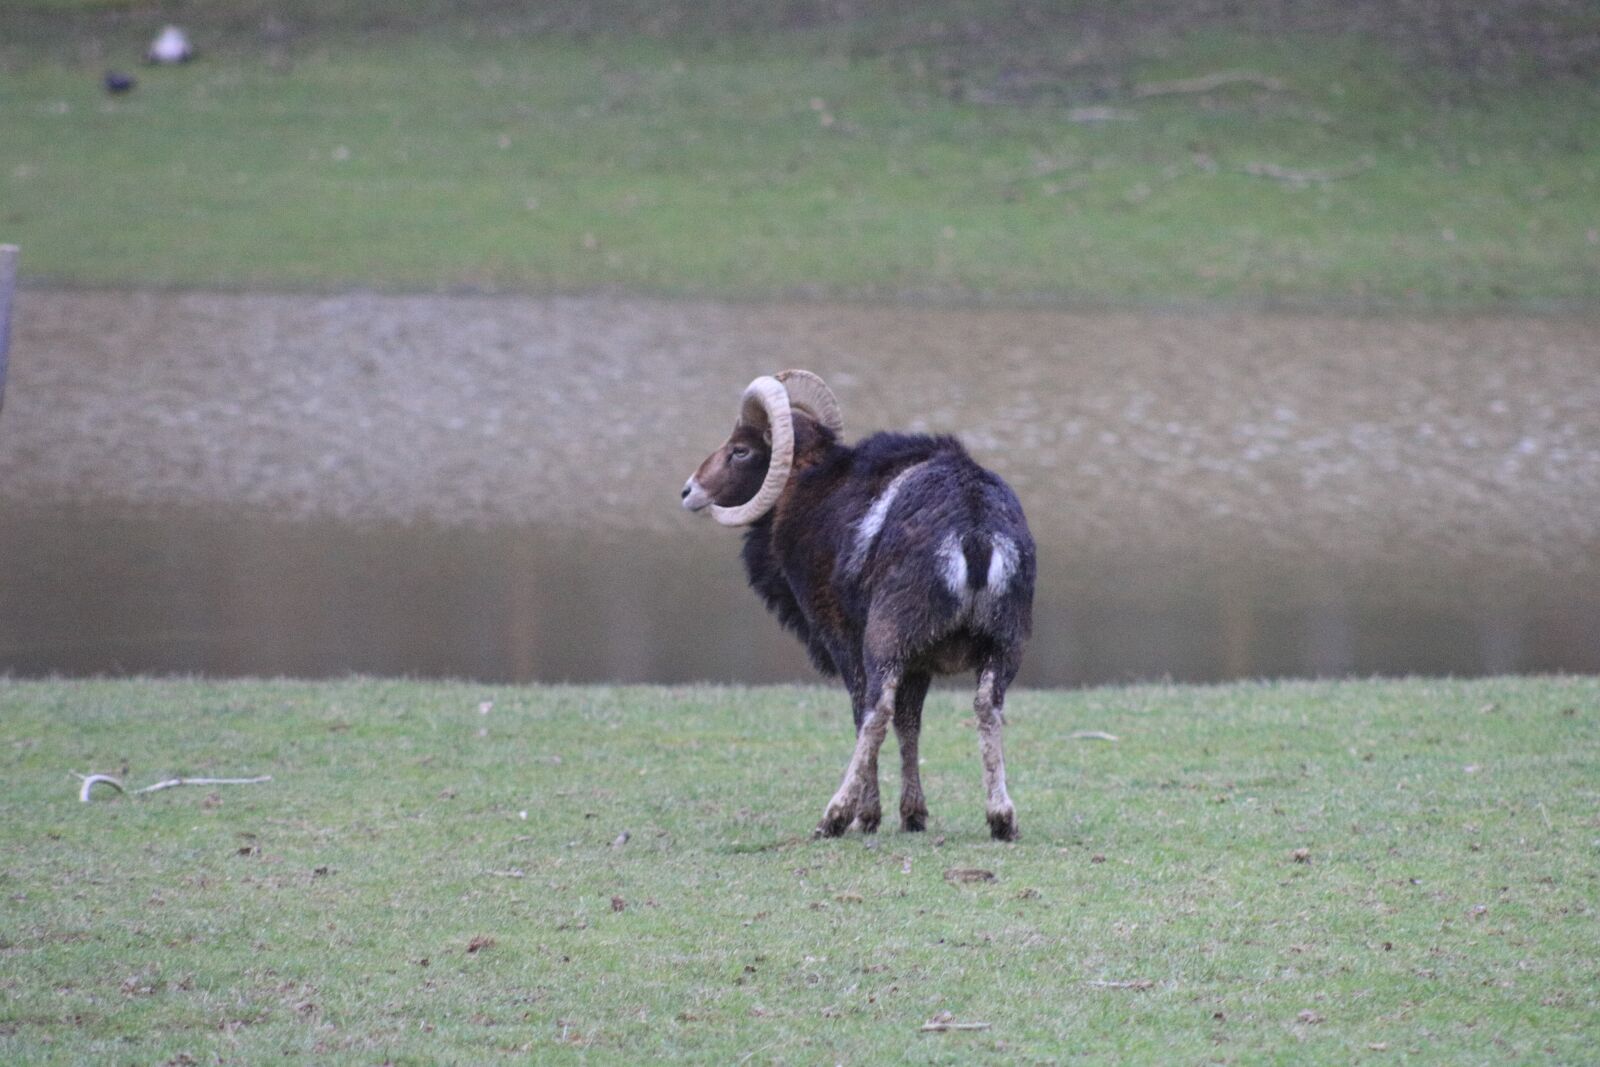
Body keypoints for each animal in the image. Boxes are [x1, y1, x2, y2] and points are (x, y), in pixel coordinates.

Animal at [681, 371, 1035, 840]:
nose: (688, 491)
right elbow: (910, 724)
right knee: (986, 708)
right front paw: (913, 816)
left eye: (741, 449)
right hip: (1002, 646)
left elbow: (863, 714)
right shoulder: (920, 663)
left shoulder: (843, 639)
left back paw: (831, 818)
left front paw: (868, 817)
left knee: (875, 712)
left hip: (887, 641)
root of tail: (975, 534)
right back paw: (1002, 820)